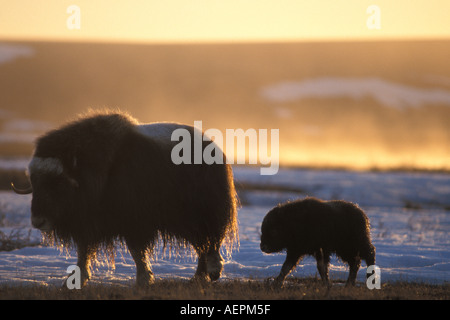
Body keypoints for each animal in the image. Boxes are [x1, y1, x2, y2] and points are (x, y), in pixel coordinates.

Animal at [11, 112, 239, 288]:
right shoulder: (89, 224)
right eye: (34, 182)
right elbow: (83, 251)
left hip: (203, 215)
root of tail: (214, 147)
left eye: (57, 183)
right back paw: (199, 277)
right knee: (201, 247)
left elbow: (136, 251)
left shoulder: (135, 222)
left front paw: (143, 280)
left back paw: (211, 273)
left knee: (209, 243)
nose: (38, 221)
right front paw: (74, 281)